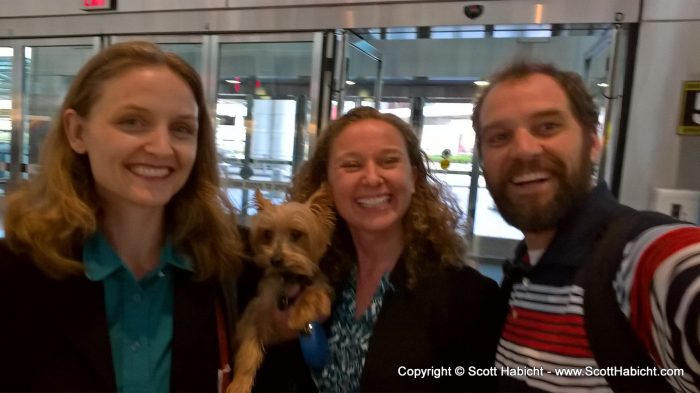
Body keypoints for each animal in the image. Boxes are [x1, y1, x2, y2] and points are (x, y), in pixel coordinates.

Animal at [227, 185, 336, 392]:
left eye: (296, 234)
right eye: (267, 234)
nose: (275, 260)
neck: (288, 278)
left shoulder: (319, 289)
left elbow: (314, 294)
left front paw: (300, 313)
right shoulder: (258, 311)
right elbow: (248, 349)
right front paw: (240, 383)